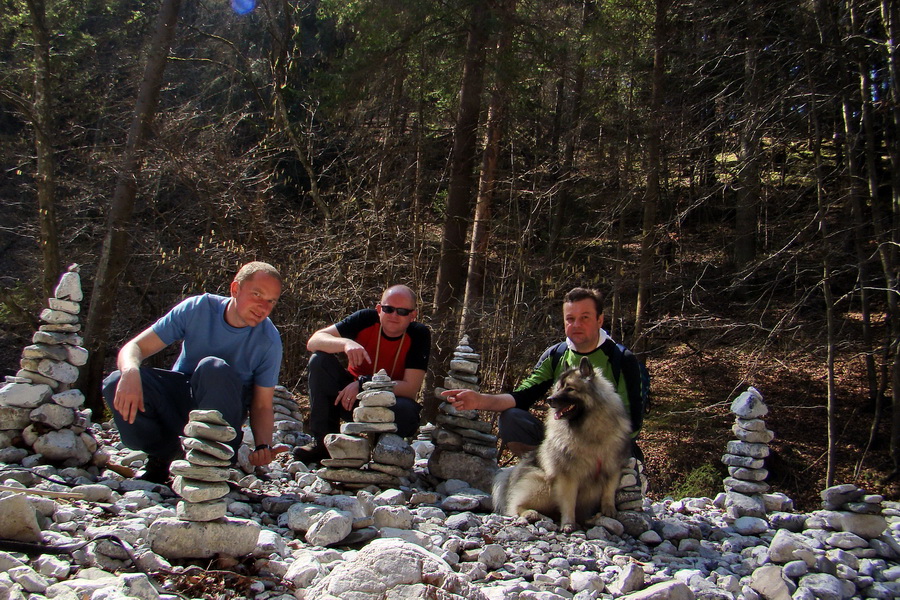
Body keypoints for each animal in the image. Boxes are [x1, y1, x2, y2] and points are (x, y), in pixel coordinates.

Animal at [492, 356, 632, 528]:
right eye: (558, 388)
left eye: (570, 389)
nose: (549, 400)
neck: (588, 430)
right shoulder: (568, 475)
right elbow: (568, 501)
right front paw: (568, 524)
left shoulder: (612, 467)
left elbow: (609, 491)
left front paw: (609, 510)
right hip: (542, 485)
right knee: (516, 505)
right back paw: (531, 513)